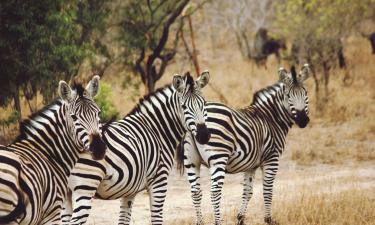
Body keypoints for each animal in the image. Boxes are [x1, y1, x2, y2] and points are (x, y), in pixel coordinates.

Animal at [60, 71, 210, 223]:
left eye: (204, 104)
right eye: (184, 106)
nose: (204, 136)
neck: (156, 129)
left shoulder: (129, 190)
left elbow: (123, 219)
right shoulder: (159, 181)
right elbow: (156, 218)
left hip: (66, 193)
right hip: (85, 187)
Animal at [178, 64, 312, 224]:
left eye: (305, 93)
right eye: (288, 96)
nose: (303, 120)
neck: (271, 118)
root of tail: (194, 124)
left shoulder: (250, 165)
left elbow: (248, 191)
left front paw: (240, 218)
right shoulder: (272, 158)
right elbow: (267, 189)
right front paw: (268, 219)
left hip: (191, 160)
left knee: (195, 192)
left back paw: (200, 222)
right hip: (218, 158)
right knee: (215, 192)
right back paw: (218, 221)